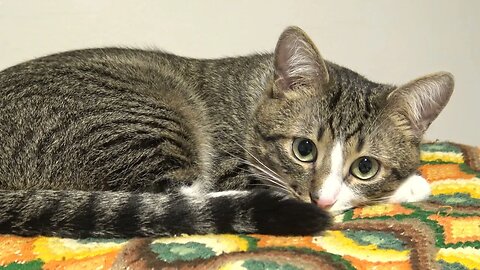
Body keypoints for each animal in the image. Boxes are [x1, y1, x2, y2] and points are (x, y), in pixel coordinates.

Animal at [0, 26, 452, 237]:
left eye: (365, 167)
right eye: (304, 149)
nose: (319, 199)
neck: (254, 98)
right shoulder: (235, 168)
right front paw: (411, 185)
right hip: (132, 121)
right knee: (174, 196)